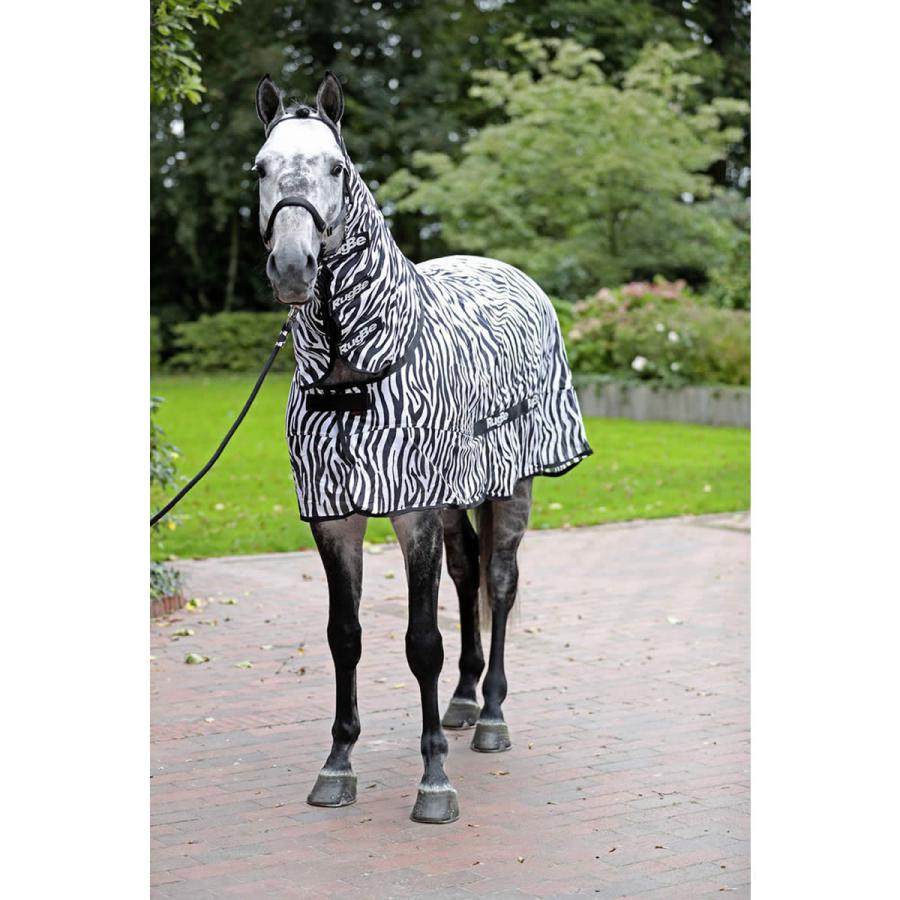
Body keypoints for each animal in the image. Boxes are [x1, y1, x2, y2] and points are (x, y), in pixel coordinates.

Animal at [253, 72, 591, 824]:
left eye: (337, 167)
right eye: (260, 168)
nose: (292, 265)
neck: (352, 374)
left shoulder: (411, 512)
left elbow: (421, 643)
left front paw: (434, 781)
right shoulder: (336, 515)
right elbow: (344, 636)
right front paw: (338, 764)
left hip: (511, 485)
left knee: (500, 581)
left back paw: (490, 715)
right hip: (453, 498)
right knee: (468, 574)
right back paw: (464, 701)